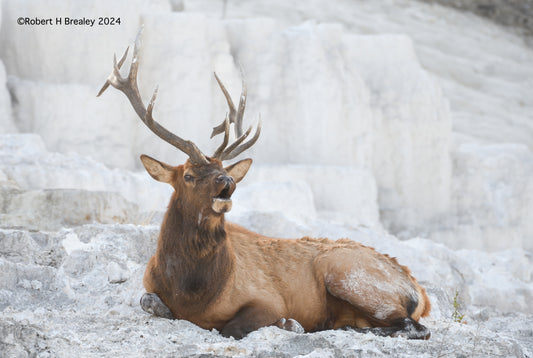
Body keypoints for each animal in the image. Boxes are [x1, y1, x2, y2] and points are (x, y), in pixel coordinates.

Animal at [100, 27, 430, 338]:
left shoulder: (267, 298)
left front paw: (290, 323)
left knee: (415, 326)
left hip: (347, 273)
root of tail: (421, 293)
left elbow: (231, 326)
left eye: (223, 169)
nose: (227, 181)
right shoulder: (149, 286)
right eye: (188, 176)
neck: (191, 291)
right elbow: (148, 300)